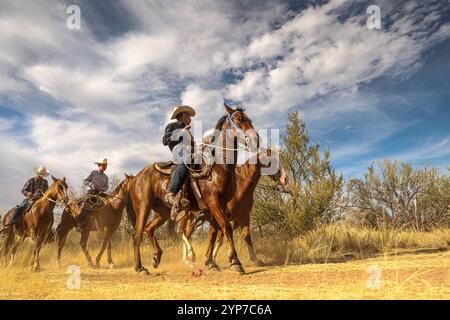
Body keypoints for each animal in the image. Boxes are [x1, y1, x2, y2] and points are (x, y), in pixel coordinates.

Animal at [126, 104, 258, 276]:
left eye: (249, 120)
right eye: (238, 119)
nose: (256, 139)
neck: (218, 167)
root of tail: (136, 177)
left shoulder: (219, 205)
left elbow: (214, 232)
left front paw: (211, 263)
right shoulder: (214, 202)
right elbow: (226, 227)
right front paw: (235, 261)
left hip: (163, 212)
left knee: (149, 229)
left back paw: (156, 257)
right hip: (143, 207)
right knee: (137, 235)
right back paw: (140, 268)